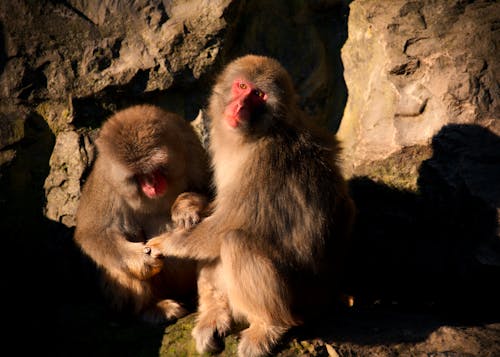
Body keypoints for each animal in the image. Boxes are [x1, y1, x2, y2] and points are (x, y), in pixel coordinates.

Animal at [74, 103, 213, 322]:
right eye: (138, 175)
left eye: (154, 169)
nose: (151, 185)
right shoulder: (105, 180)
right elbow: (92, 233)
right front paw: (142, 260)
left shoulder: (191, 147)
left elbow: (213, 191)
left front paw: (186, 205)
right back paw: (153, 307)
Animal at [146, 55, 356, 354]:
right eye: (242, 86)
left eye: (258, 95)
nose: (238, 106)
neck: (257, 134)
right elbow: (215, 212)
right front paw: (187, 205)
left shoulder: (265, 162)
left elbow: (224, 224)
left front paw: (165, 242)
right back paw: (215, 314)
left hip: (302, 300)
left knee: (234, 239)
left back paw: (268, 326)